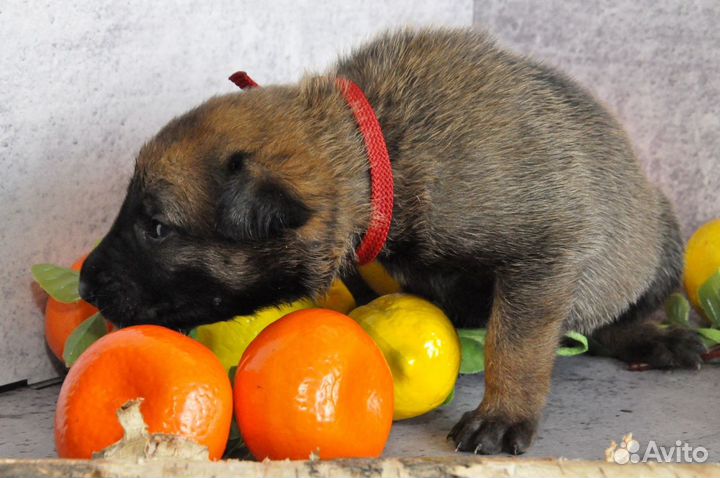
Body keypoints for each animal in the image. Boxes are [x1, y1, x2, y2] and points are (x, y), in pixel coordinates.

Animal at [79, 29, 704, 456]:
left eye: (157, 227)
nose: (84, 284)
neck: (381, 152)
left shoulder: (542, 255)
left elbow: (516, 346)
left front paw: (502, 413)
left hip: (660, 241)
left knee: (611, 323)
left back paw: (657, 338)